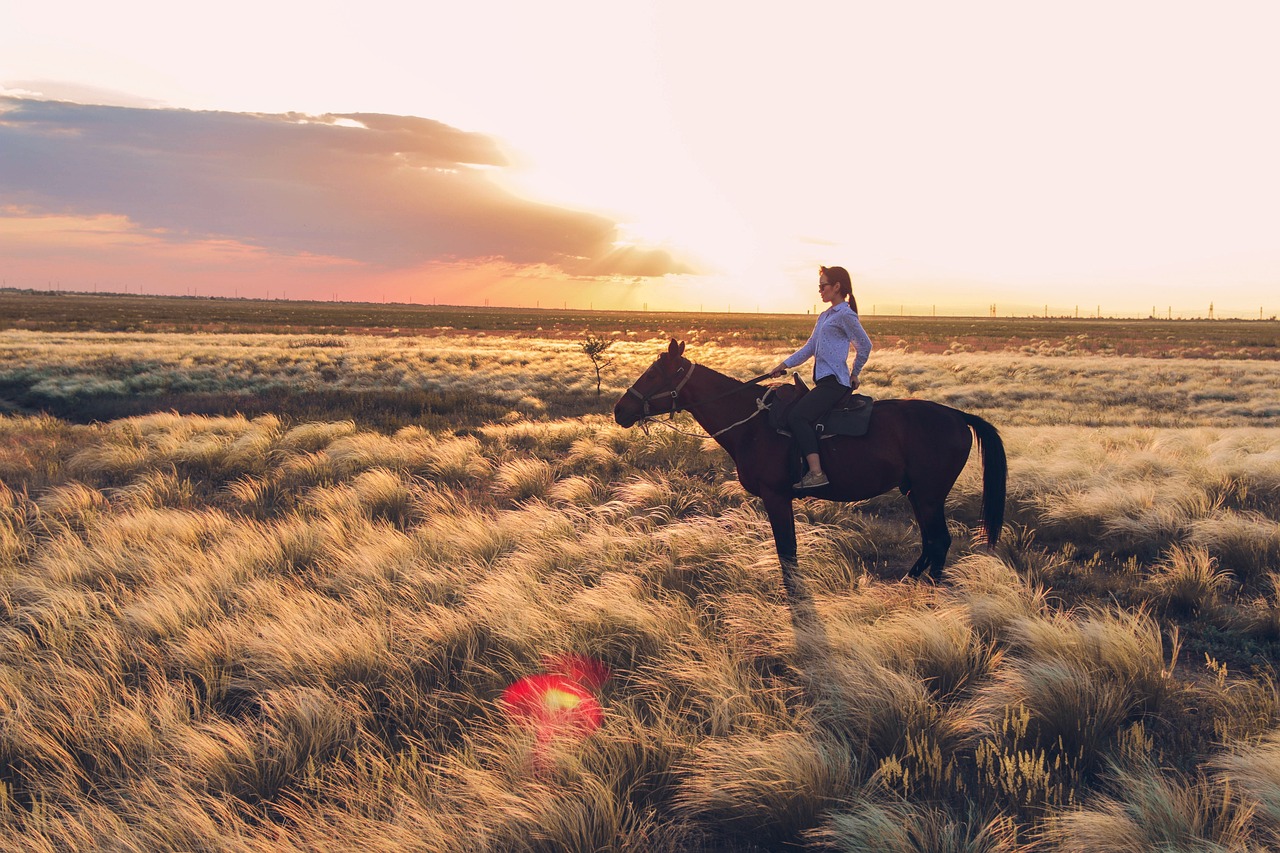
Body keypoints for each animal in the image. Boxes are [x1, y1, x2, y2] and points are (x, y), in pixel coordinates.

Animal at [614, 338, 1003, 591]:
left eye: (653, 375)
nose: (620, 410)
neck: (752, 422)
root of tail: (957, 416)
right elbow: (789, 552)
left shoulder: (775, 496)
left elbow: (787, 551)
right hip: (917, 494)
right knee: (930, 541)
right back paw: (910, 581)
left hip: (929, 495)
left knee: (940, 541)